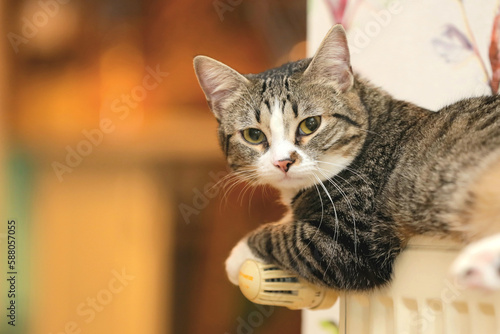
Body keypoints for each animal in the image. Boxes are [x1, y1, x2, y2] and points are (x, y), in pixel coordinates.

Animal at [193, 25, 500, 292]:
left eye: (310, 124)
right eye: (254, 135)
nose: (283, 162)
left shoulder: (350, 239)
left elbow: (281, 236)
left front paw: (237, 256)